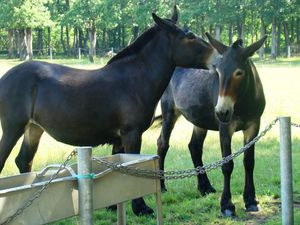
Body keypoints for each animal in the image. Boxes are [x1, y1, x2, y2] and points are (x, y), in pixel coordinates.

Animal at [0, 7, 213, 215]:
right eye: (190, 36)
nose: (216, 56)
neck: (134, 80)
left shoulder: (118, 139)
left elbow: (119, 168)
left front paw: (113, 205)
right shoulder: (131, 134)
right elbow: (132, 168)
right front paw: (141, 207)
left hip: (34, 129)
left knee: (23, 161)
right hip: (13, 129)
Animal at [156, 33, 266, 216]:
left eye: (239, 73)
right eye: (218, 72)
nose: (221, 112)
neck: (242, 101)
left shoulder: (253, 126)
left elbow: (249, 162)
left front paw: (250, 200)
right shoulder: (225, 128)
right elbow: (227, 164)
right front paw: (227, 205)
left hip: (199, 121)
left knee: (194, 147)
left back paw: (205, 187)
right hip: (169, 112)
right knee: (163, 143)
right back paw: (162, 185)